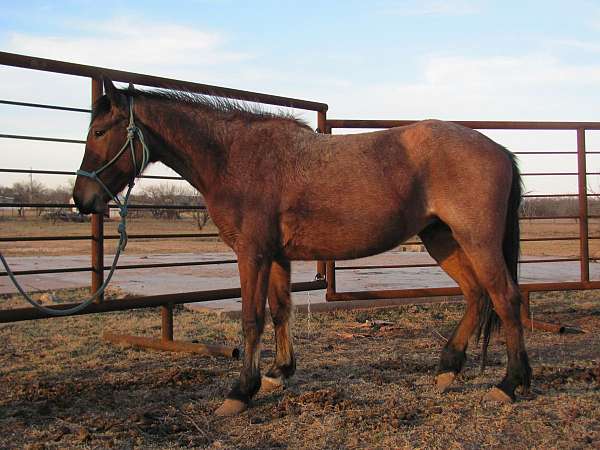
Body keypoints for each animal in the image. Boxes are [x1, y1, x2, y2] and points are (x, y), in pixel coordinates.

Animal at [74, 79, 528, 416]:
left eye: (99, 132)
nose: (82, 199)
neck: (235, 159)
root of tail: (498, 149)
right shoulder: (276, 256)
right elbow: (280, 311)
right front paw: (279, 371)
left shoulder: (252, 254)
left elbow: (252, 319)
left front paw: (241, 391)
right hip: (442, 238)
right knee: (477, 295)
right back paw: (449, 368)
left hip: (476, 240)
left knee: (505, 298)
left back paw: (511, 384)